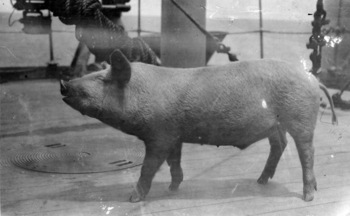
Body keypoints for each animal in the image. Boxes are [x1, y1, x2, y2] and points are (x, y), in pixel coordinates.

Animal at [60, 49, 336, 202]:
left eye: (101, 79)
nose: (63, 83)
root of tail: (313, 79)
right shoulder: (174, 135)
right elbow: (174, 161)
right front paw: (173, 188)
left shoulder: (160, 135)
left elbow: (149, 167)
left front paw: (132, 199)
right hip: (276, 125)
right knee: (280, 145)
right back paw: (261, 182)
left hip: (300, 118)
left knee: (306, 151)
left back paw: (308, 196)